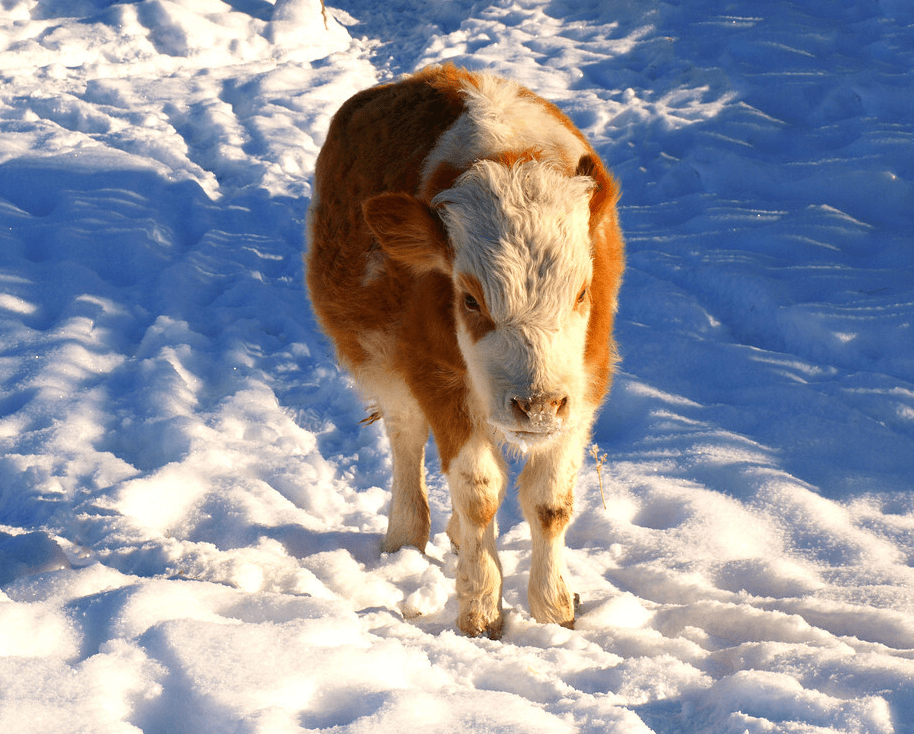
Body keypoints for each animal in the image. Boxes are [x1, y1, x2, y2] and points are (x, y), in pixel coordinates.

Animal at [310, 64, 624, 640]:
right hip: (383, 361)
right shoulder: (436, 377)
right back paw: (406, 535)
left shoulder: (585, 384)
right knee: (406, 437)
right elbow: (478, 490)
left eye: (583, 292)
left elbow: (550, 501)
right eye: (470, 299)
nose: (535, 405)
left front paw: (553, 610)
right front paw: (480, 611)